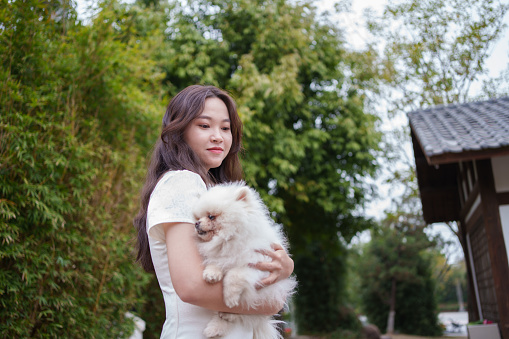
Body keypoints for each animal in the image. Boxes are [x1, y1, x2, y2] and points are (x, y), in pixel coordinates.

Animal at [193, 183, 298, 339]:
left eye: (211, 217)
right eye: (198, 217)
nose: (196, 223)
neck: (230, 239)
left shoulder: (258, 266)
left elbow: (234, 274)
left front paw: (230, 298)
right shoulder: (221, 257)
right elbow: (216, 262)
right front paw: (211, 274)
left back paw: (227, 315)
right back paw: (214, 329)